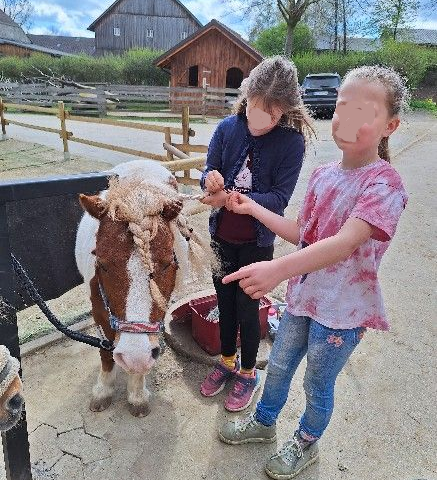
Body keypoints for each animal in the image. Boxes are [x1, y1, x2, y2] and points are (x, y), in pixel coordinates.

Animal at [75, 160, 206, 417]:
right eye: (102, 264)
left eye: (168, 263)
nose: (134, 356)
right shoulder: (98, 310)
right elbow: (105, 351)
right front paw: (103, 390)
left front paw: (136, 393)